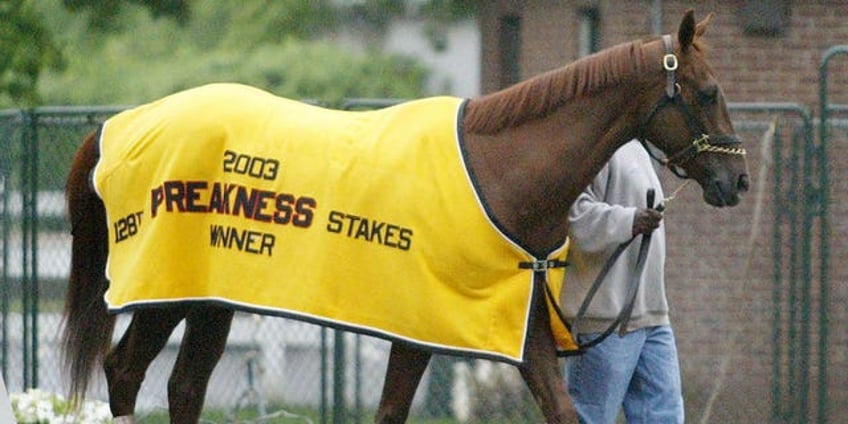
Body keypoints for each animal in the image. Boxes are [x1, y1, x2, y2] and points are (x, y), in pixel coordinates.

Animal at [61, 11, 748, 422]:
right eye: (709, 91)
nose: (737, 180)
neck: (499, 169)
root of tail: (119, 125)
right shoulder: (422, 327)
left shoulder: (517, 328)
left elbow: (562, 410)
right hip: (167, 294)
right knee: (127, 371)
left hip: (212, 298)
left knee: (183, 385)